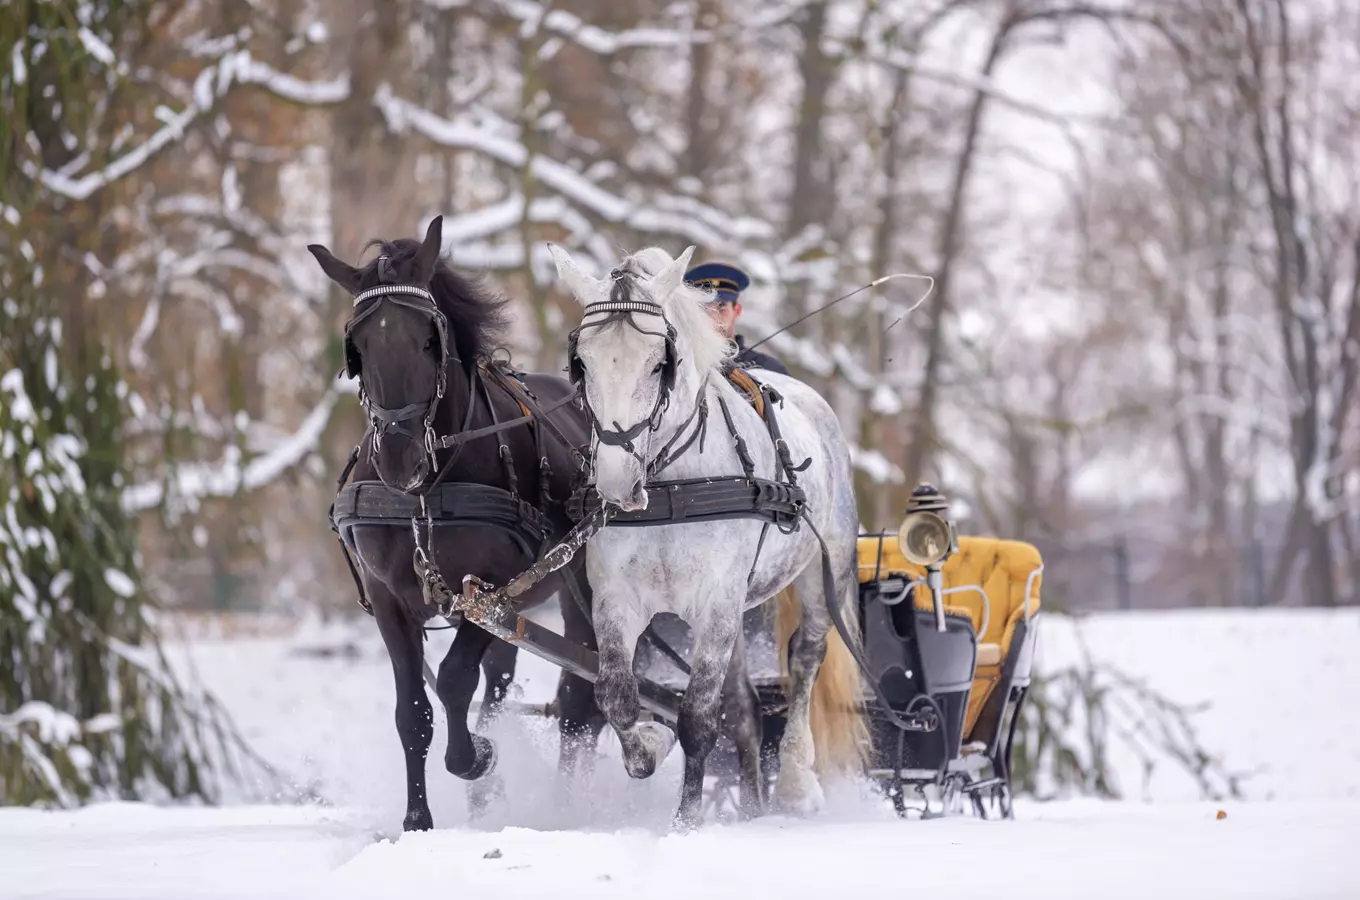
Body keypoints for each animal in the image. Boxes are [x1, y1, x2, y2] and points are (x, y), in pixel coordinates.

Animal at [312, 217, 606, 832]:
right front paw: (418, 821)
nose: (399, 457)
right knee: (506, 685)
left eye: (431, 339)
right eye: (358, 346)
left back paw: (571, 800)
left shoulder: (488, 592)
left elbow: (451, 683)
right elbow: (413, 712)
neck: (425, 494)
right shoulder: (391, 599)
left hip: (586, 591)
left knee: (584, 701)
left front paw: (478, 759)